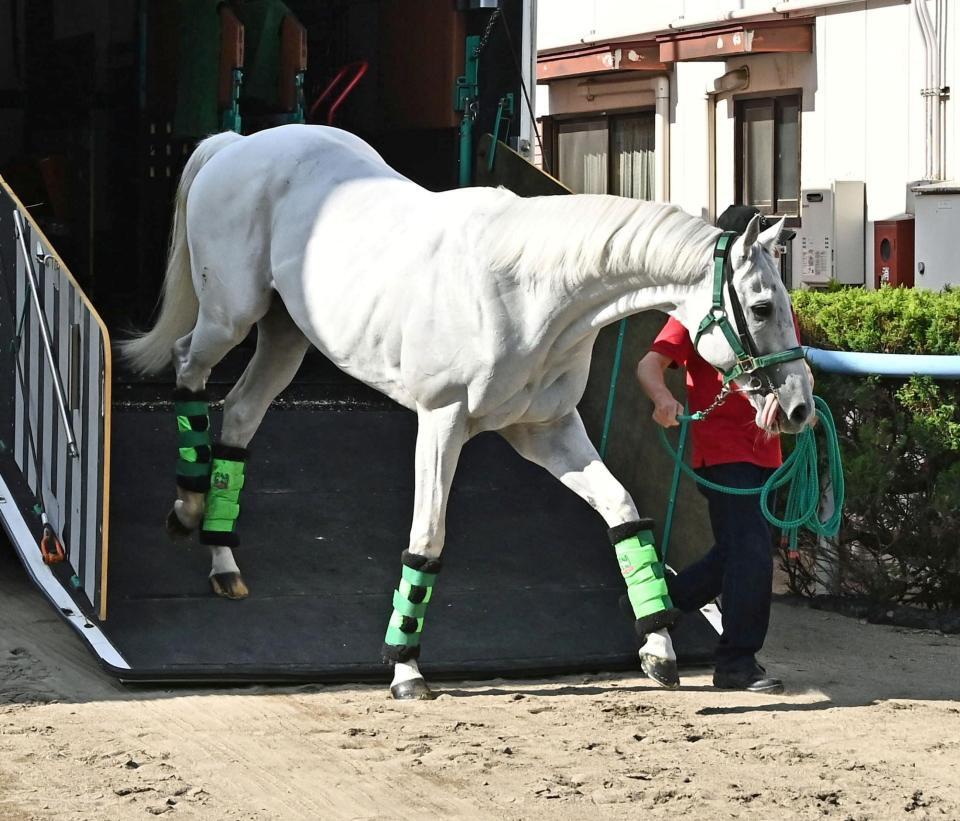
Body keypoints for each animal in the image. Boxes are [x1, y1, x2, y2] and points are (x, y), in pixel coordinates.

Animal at [121, 124, 813, 699]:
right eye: (760, 307)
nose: (800, 407)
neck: (530, 290)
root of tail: (239, 144)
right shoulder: (442, 421)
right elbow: (427, 538)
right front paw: (405, 669)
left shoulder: (546, 432)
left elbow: (623, 514)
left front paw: (660, 650)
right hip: (230, 317)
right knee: (188, 368)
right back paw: (187, 508)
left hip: (286, 337)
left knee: (239, 416)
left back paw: (223, 558)